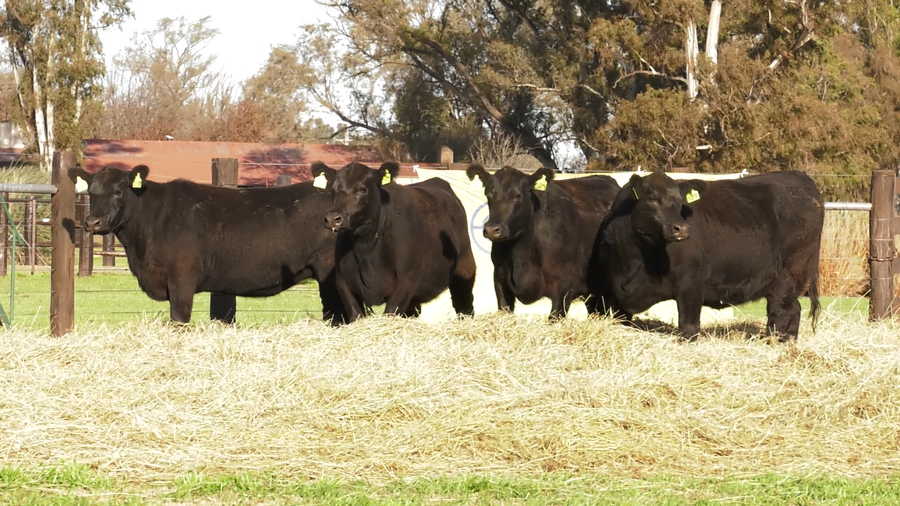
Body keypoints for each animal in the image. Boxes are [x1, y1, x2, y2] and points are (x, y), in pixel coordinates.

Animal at [313, 161, 476, 322]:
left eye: (362, 189)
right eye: (333, 190)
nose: (332, 218)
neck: (366, 248)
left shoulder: (405, 284)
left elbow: (390, 313)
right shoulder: (344, 284)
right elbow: (356, 315)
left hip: (464, 269)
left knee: (464, 304)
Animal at [592, 171, 823, 340]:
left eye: (681, 202)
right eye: (652, 199)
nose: (682, 229)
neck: (635, 263)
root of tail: (798, 177)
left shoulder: (691, 283)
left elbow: (688, 326)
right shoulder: (615, 293)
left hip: (790, 273)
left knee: (781, 311)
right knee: (794, 309)